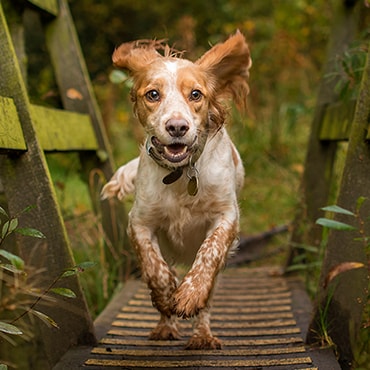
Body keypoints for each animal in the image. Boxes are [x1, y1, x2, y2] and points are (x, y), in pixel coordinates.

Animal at [102, 31, 251, 350]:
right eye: (152, 94)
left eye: (195, 94)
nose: (177, 127)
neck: (181, 174)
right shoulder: (140, 223)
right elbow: (155, 269)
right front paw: (167, 294)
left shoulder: (226, 216)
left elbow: (208, 253)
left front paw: (189, 294)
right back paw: (165, 327)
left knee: (207, 302)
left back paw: (202, 335)